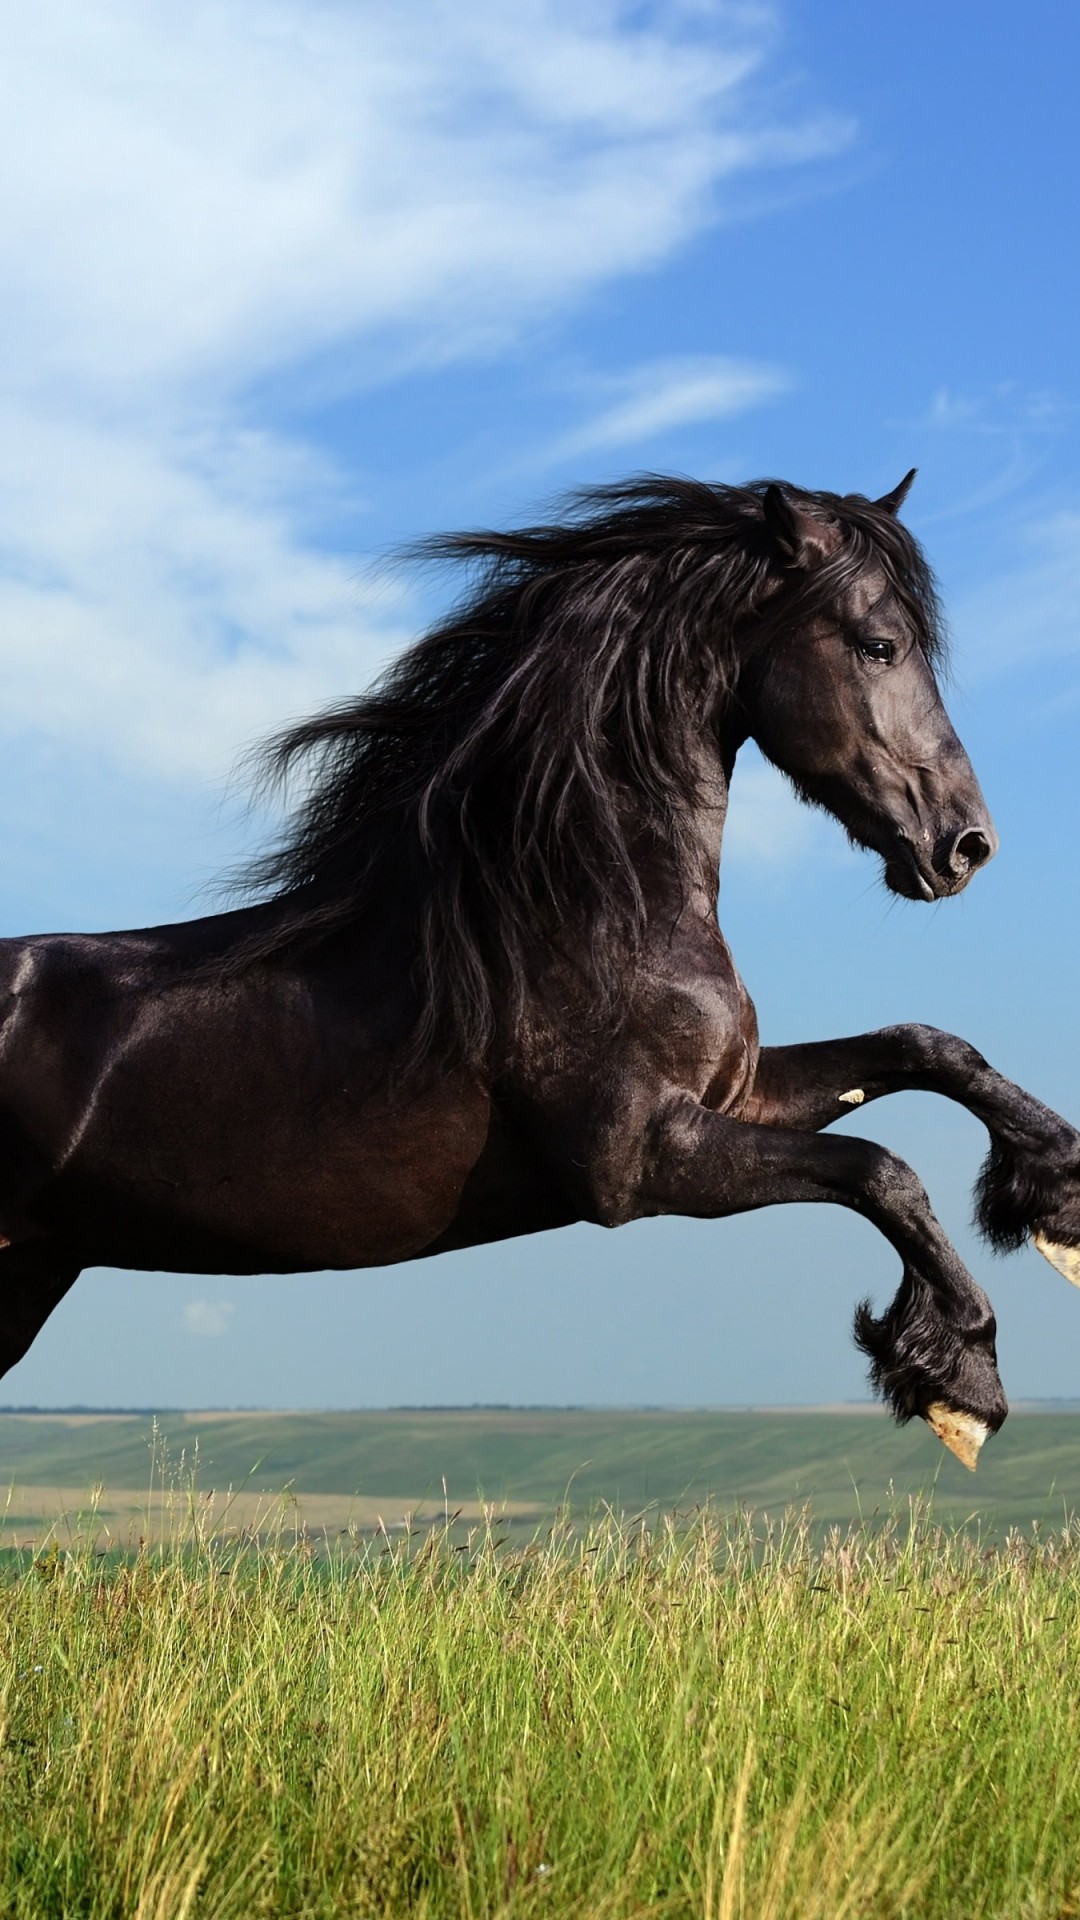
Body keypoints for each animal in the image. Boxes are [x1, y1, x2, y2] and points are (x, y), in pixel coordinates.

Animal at [2, 470, 1079, 1466]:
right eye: (877, 644)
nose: (965, 845)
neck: (580, 914)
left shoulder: (735, 1094)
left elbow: (925, 1048)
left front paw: (1055, 1195)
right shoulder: (639, 1163)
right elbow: (881, 1170)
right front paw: (960, 1380)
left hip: (31, 1275)